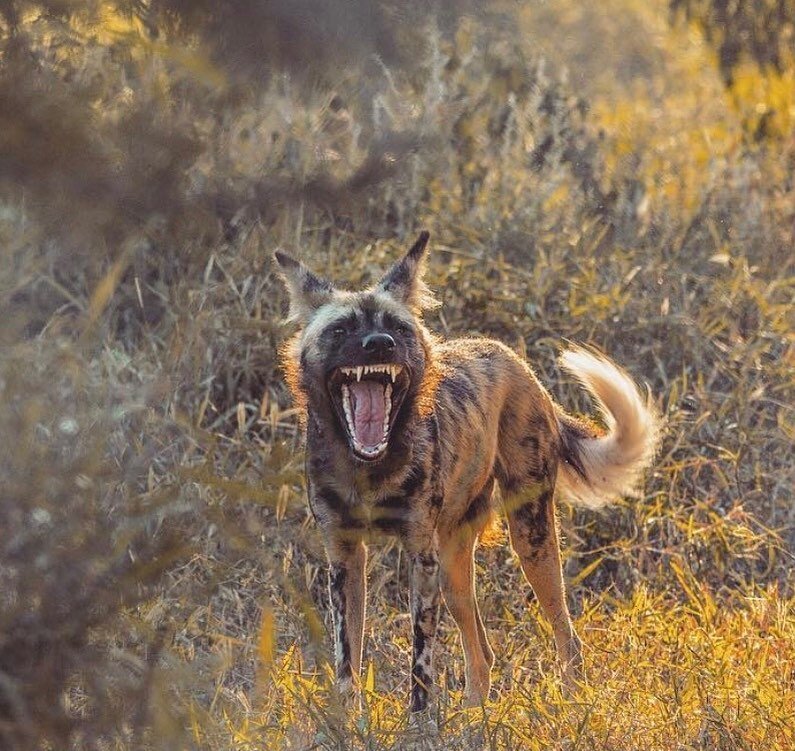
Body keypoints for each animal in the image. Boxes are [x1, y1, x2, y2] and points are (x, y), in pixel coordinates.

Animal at [276, 232, 664, 712]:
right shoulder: (345, 558)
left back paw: (572, 702)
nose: (380, 344)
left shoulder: (419, 557)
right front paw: (348, 721)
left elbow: (420, 665)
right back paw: (474, 713)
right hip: (453, 567)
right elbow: (347, 660)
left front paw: (420, 723)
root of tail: (520, 365)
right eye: (342, 329)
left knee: (564, 634)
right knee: (482, 652)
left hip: (529, 541)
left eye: (398, 328)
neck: (370, 469)